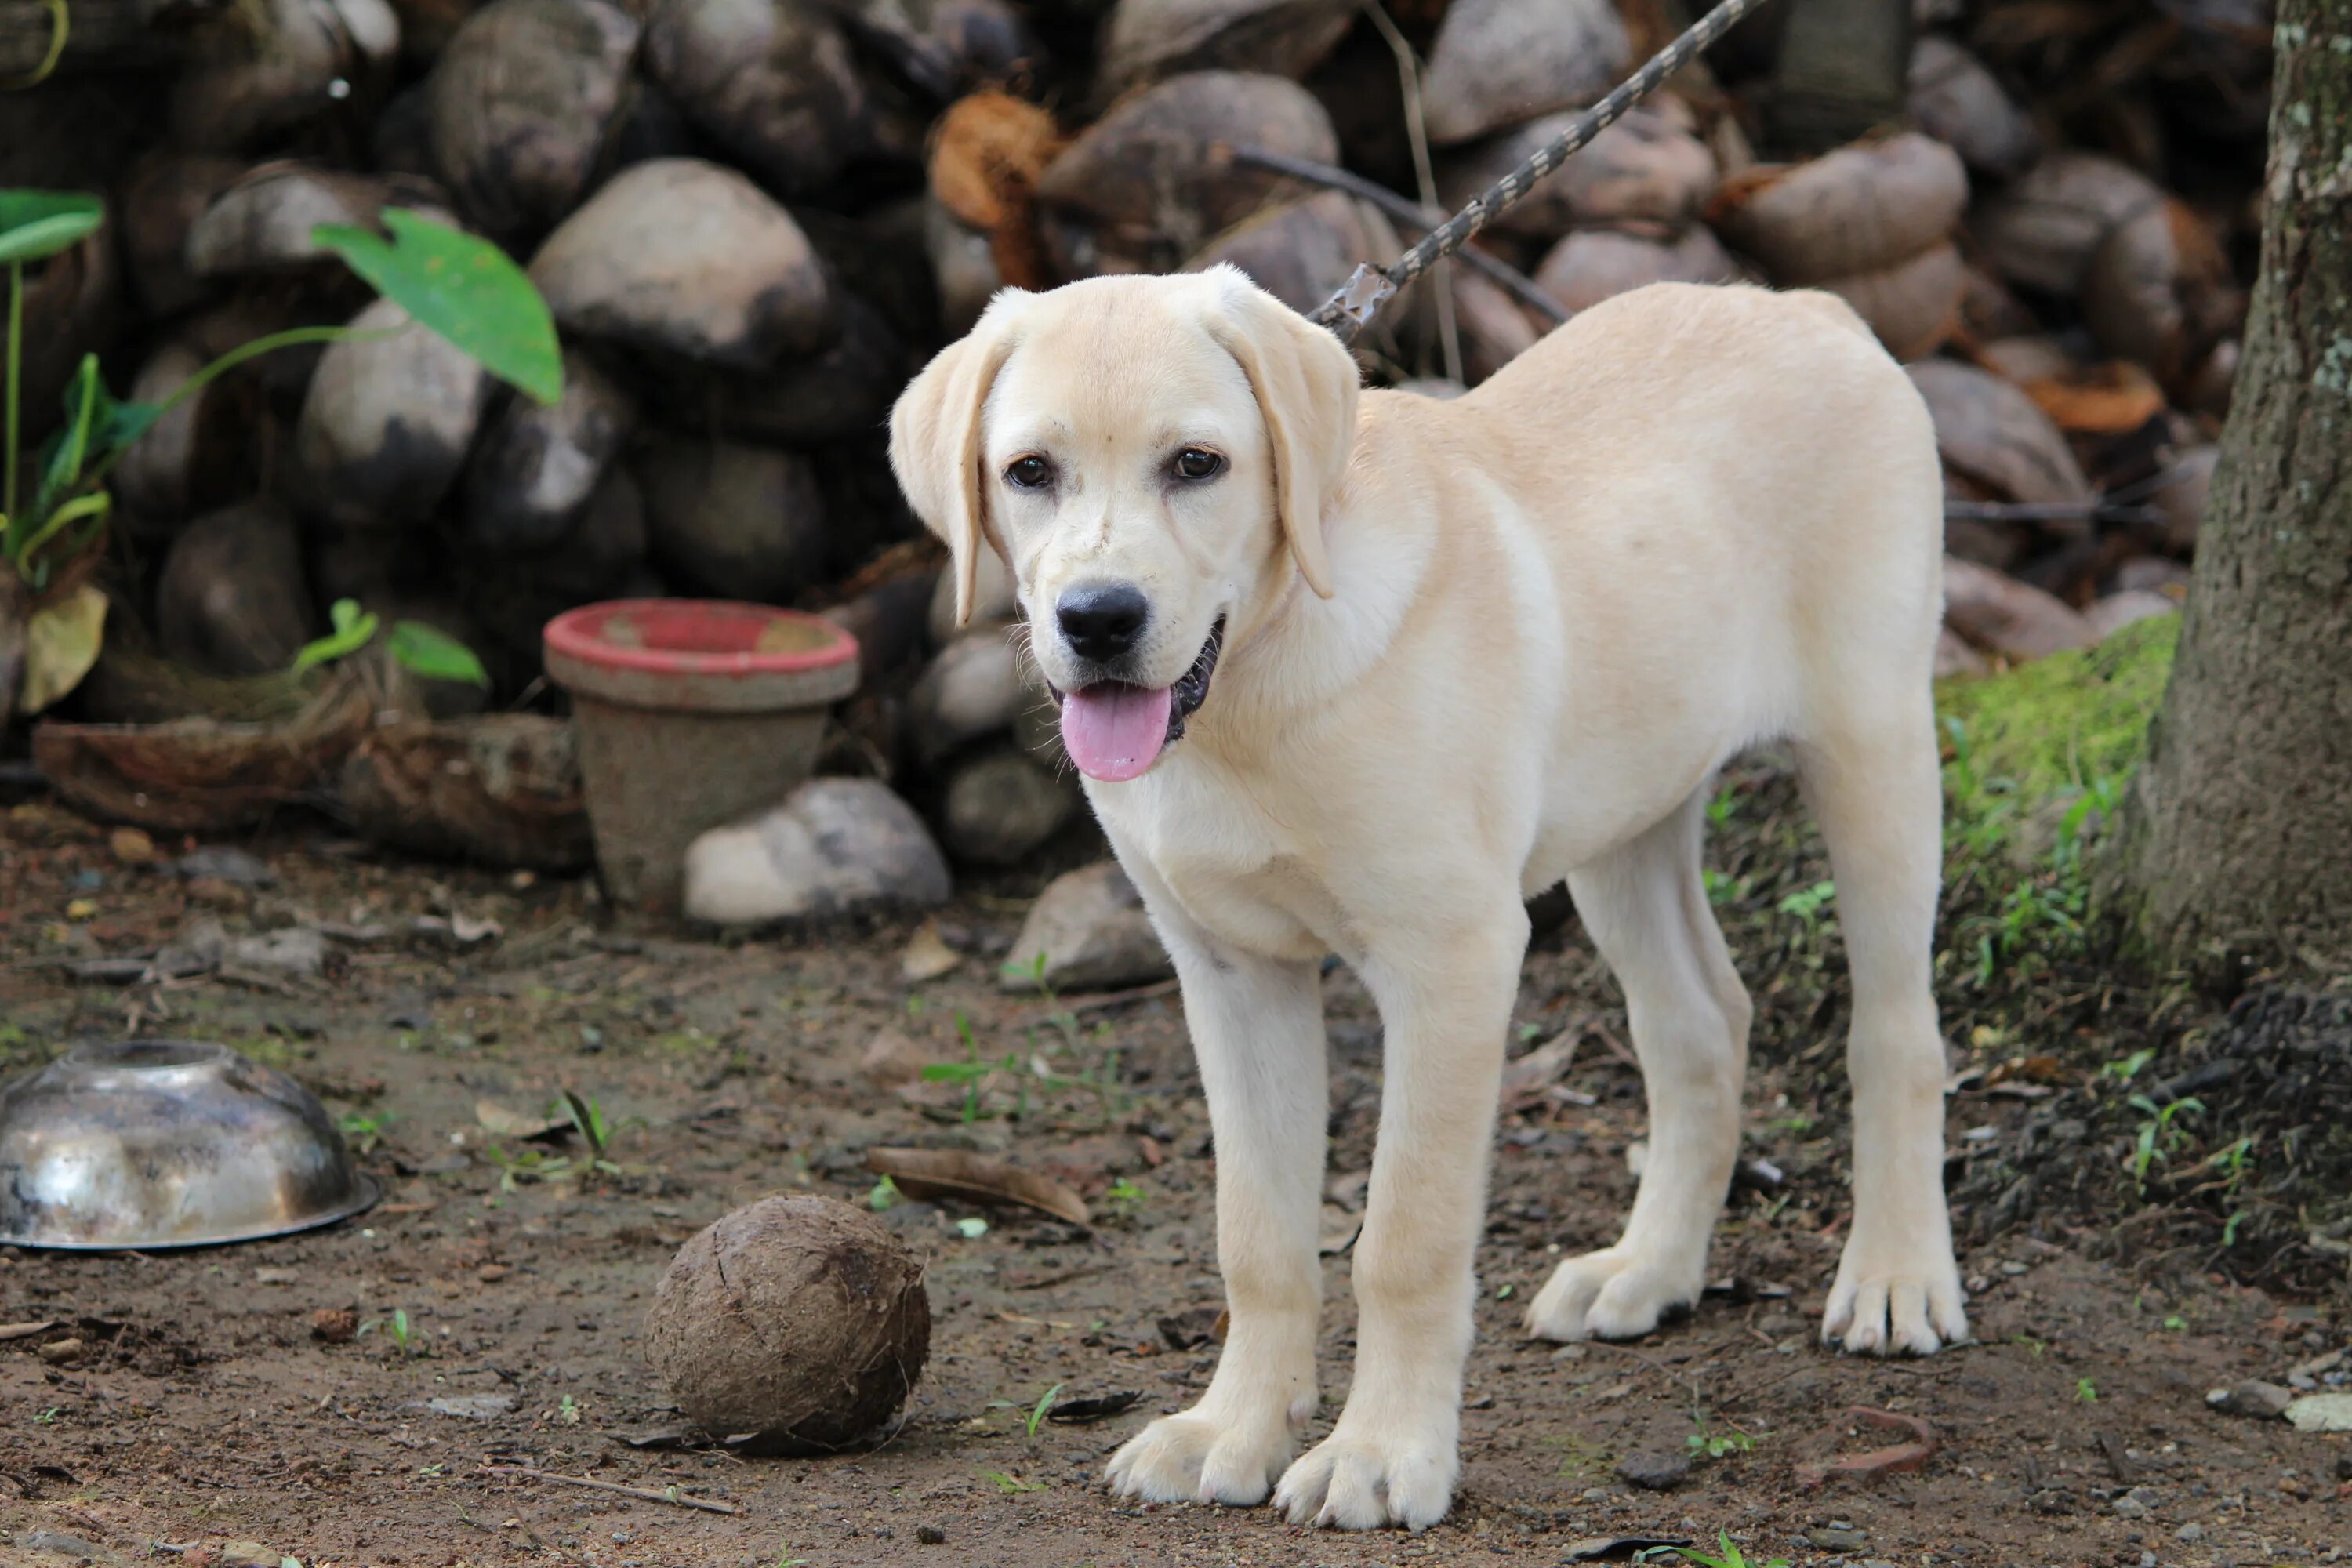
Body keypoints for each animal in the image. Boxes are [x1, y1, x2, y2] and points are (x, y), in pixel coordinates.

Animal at [889, 270, 1957, 1533]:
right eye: (1029, 471)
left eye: (1198, 464)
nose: (1098, 621)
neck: (1250, 687)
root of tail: (1806, 306)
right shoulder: (1231, 976)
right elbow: (1257, 1234)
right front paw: (1231, 1430)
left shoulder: (1453, 960)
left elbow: (1403, 1234)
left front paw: (1382, 1455)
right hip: (1627, 812)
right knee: (1701, 1023)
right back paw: (1648, 1271)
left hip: (1873, 745)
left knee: (1896, 1032)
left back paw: (1895, 1277)